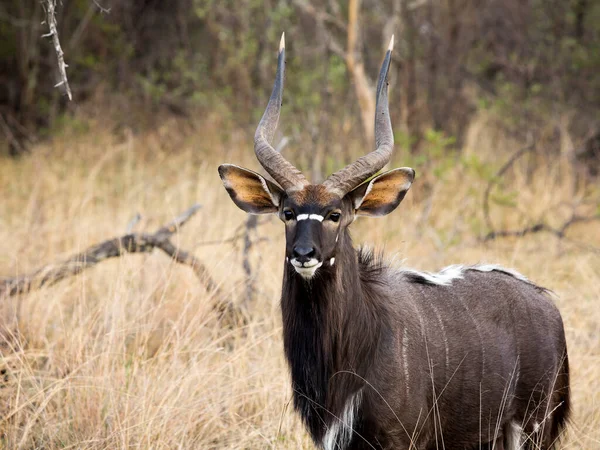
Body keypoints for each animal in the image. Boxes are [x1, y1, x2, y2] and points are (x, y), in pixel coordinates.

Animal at [218, 33, 568, 448]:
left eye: (335, 215)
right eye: (287, 212)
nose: (304, 254)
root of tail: (548, 306)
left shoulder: (400, 437)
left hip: (531, 427)